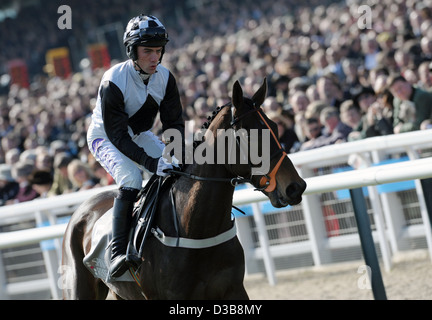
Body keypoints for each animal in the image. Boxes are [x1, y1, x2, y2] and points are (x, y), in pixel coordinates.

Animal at [60, 79, 306, 298]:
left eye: (275, 126)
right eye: (249, 135)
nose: (296, 187)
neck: (195, 227)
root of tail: (81, 210)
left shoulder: (233, 290)